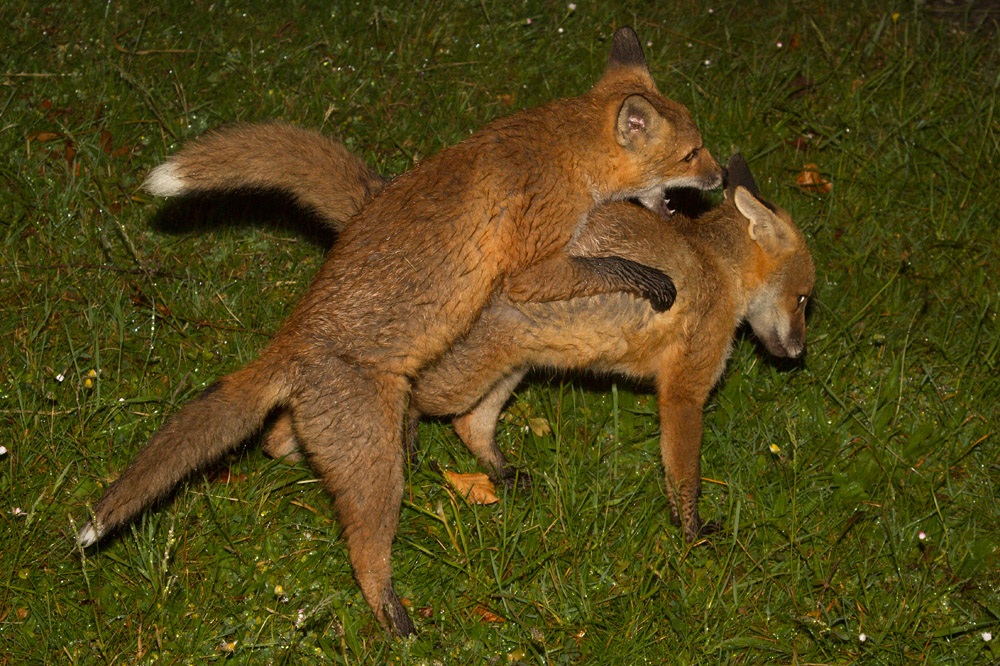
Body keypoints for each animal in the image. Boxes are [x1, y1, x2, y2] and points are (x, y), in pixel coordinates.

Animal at [76, 27, 725, 636]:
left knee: (277, 441)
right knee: (365, 547)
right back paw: (393, 617)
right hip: (376, 468)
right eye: (692, 153)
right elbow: (606, 268)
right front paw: (651, 280)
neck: (564, 151)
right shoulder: (531, 267)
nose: (721, 178)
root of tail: (290, 344)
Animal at [159, 127, 814, 543]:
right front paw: (693, 534)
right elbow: (685, 476)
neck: (713, 269)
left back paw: (498, 473)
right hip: (458, 372)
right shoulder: (683, 391)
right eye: (806, 299)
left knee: (468, 426)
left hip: (514, 364)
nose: (799, 354)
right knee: (374, 413)